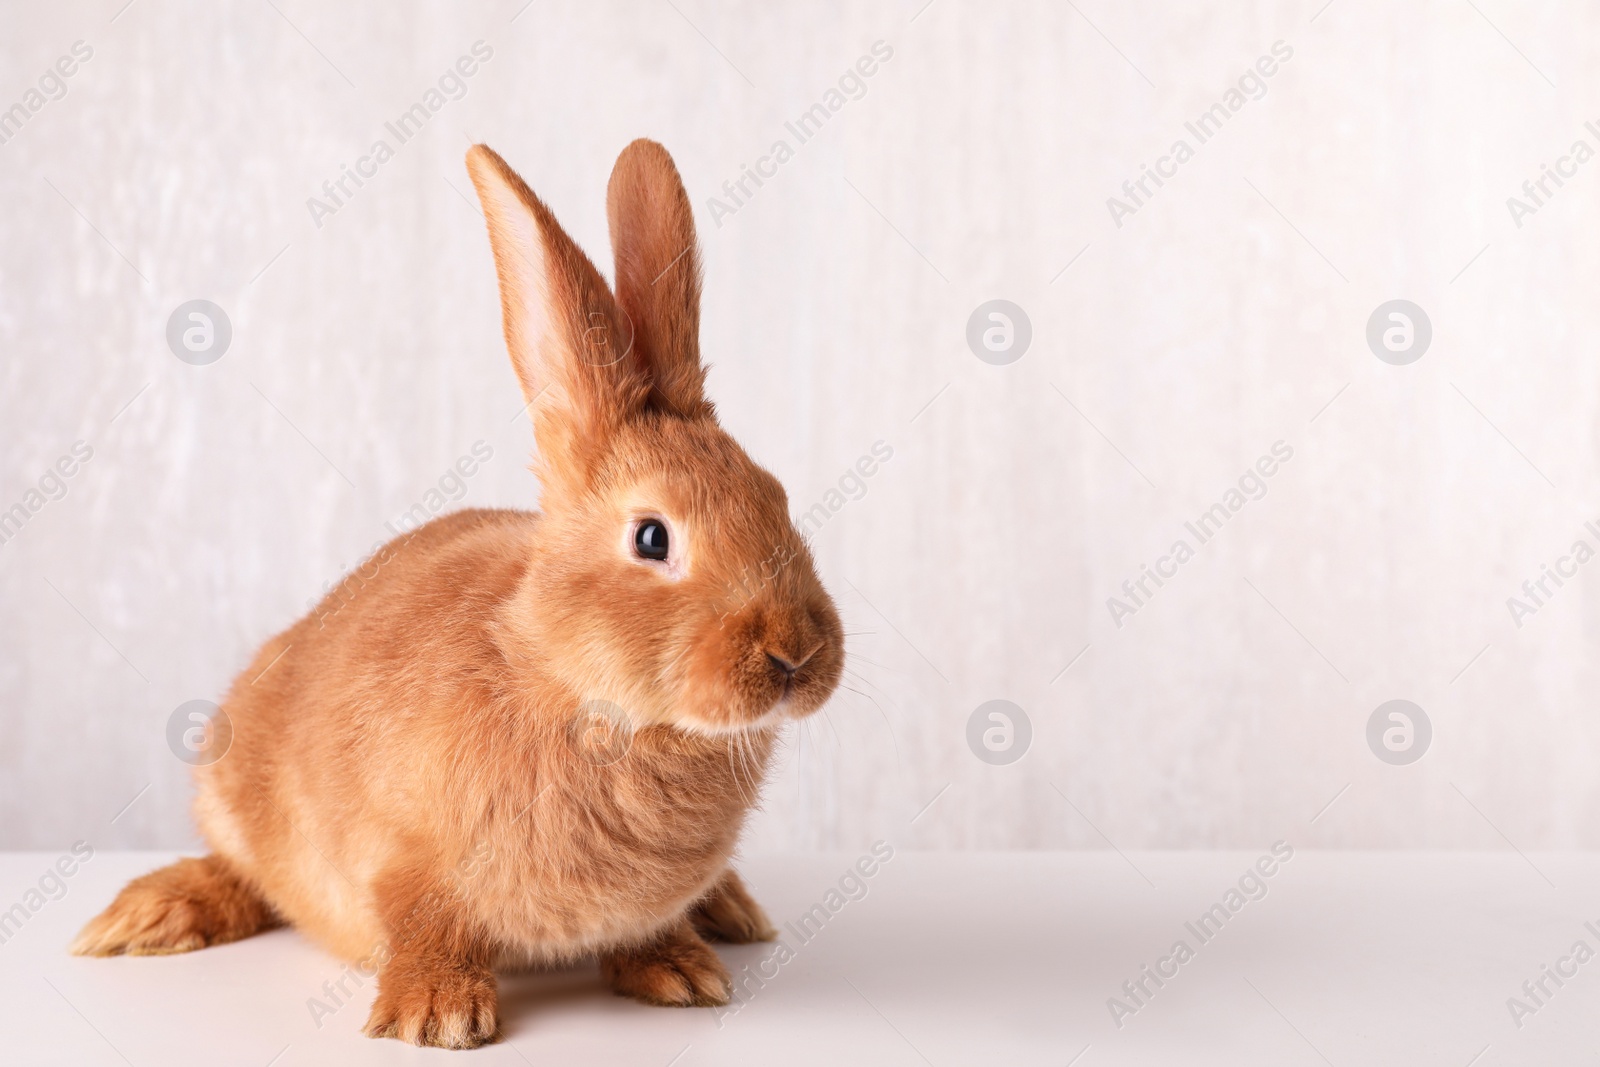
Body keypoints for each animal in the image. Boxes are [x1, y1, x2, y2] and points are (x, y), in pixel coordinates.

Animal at [72, 141, 851, 1049]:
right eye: (653, 538)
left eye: (777, 497)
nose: (797, 652)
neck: (580, 693)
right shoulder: (399, 856)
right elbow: (423, 921)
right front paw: (434, 1015)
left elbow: (648, 929)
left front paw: (681, 973)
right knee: (240, 871)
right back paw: (146, 916)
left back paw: (733, 912)